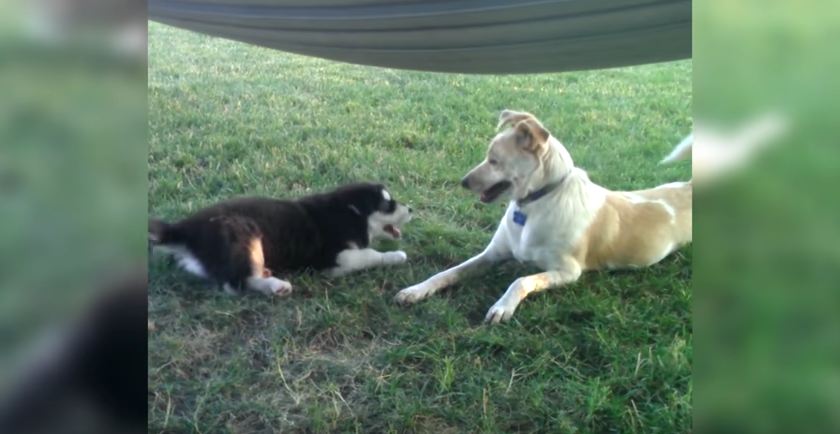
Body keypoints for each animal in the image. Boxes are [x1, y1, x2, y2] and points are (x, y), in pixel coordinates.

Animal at [153, 181, 416, 296]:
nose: (412, 209)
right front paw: (396, 255)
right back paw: (276, 286)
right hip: (243, 234)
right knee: (236, 283)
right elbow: (369, 255)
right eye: (388, 204)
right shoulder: (334, 256)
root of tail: (185, 229)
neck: (349, 213)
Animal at [398, 110, 692, 324]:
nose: (463, 182)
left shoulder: (568, 271)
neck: (535, 204)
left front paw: (503, 306)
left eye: (494, 161)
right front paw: (416, 290)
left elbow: (521, 280)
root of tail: (690, 186)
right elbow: (448, 272)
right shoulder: (491, 255)